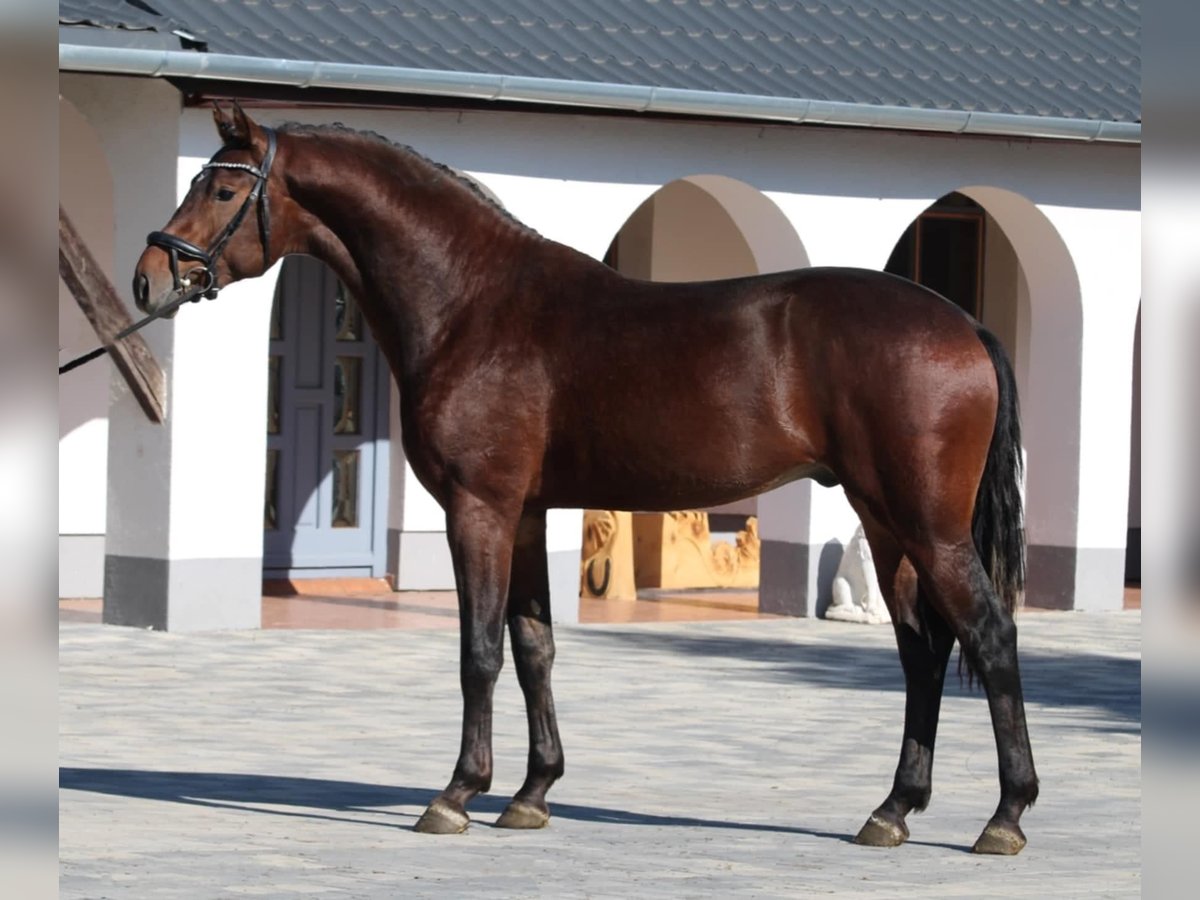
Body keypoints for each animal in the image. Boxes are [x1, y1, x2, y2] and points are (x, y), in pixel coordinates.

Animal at [129, 102, 1032, 854]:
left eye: (220, 187)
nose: (149, 277)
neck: (473, 304)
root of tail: (965, 325)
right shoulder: (525, 514)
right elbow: (536, 646)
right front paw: (532, 793)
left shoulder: (479, 509)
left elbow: (479, 651)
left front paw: (457, 794)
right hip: (886, 523)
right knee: (922, 651)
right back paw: (893, 811)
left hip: (928, 527)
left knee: (989, 638)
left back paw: (1005, 816)